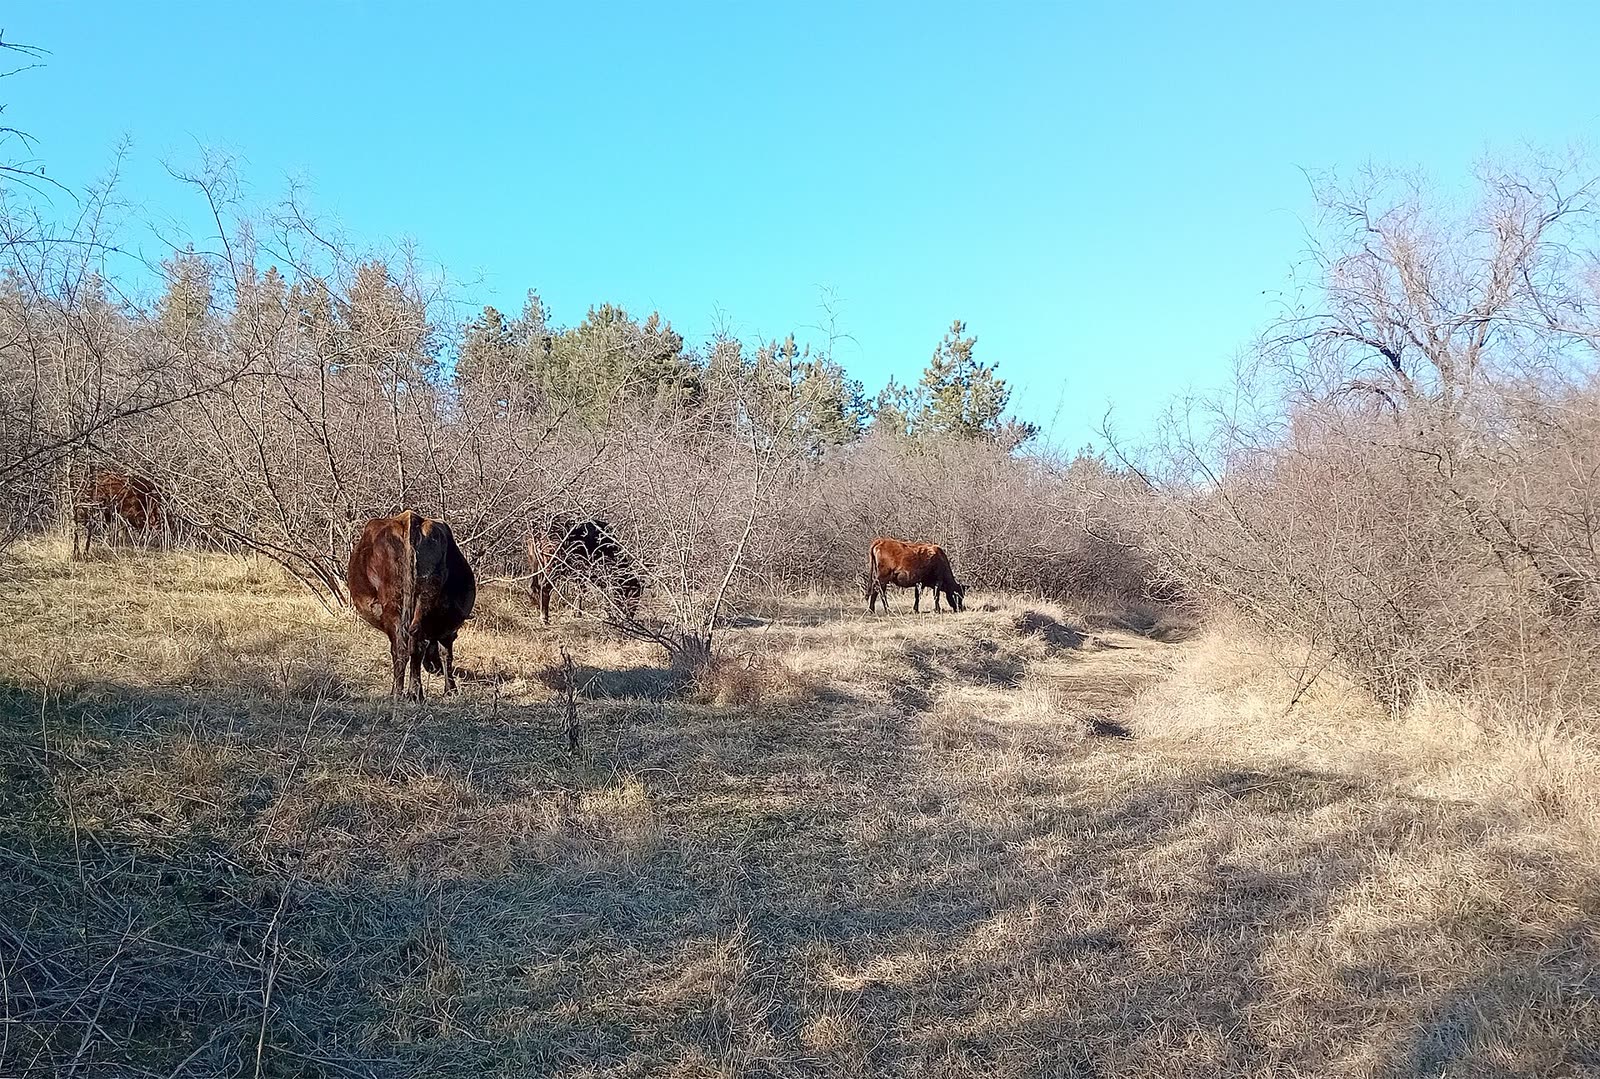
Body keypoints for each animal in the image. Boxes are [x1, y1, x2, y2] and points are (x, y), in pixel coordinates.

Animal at [347, 510, 477, 700]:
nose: (434, 668)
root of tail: (411, 519)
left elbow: (446, 653)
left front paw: (450, 689)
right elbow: (446, 653)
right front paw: (450, 689)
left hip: (396, 603)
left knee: (405, 646)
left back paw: (403, 693)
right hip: (419, 602)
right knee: (412, 644)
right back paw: (411, 693)